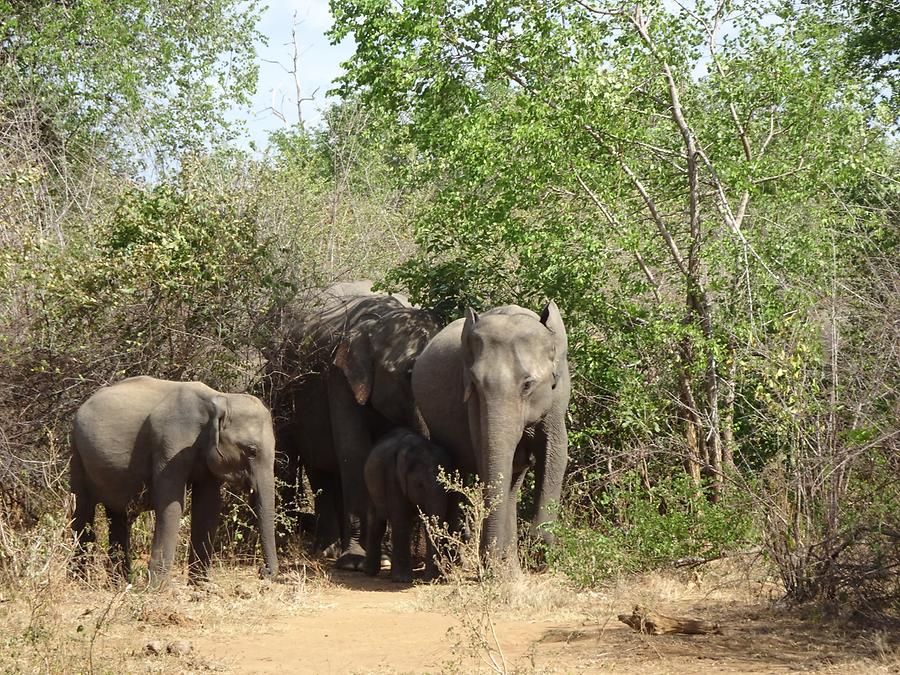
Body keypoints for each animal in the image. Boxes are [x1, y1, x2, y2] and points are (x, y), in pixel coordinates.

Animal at [71, 374, 278, 588]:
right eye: (252, 450)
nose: (262, 571)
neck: (219, 399)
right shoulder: (171, 441)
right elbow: (172, 503)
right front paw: (157, 589)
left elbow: (208, 507)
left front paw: (200, 587)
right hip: (77, 452)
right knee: (83, 510)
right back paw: (80, 581)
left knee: (119, 517)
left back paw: (120, 583)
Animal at [272, 280, 444, 572]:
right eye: (409, 374)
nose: (420, 563)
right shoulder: (339, 376)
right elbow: (354, 452)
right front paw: (355, 561)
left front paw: (382, 556)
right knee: (314, 465)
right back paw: (327, 551)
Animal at [360, 430, 460, 584]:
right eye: (420, 485)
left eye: (448, 486)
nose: (432, 581)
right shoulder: (393, 477)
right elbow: (400, 518)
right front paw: (402, 580)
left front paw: (432, 579)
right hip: (370, 486)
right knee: (377, 522)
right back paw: (370, 572)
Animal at [410, 304, 568, 568]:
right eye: (475, 383)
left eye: (528, 384)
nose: (486, 560)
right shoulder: (472, 403)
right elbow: (485, 455)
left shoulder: (559, 397)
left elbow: (555, 453)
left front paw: (538, 548)